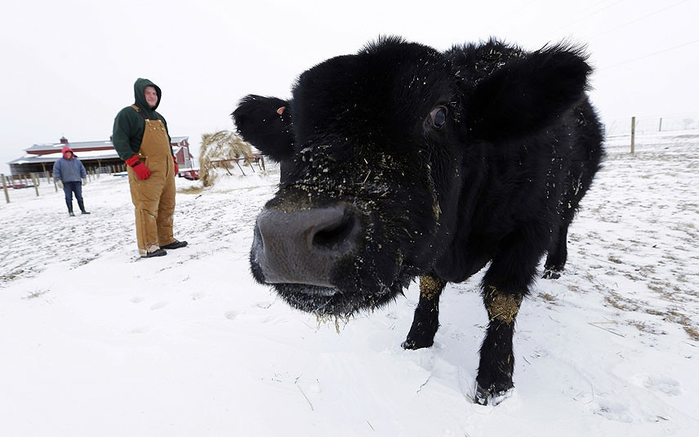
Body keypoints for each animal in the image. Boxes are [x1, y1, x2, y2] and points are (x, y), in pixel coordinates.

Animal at [232, 37, 604, 406]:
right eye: (292, 129)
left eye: (440, 115)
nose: (288, 235)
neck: (459, 247)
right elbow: (430, 286)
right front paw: (417, 340)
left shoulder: (529, 231)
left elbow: (502, 300)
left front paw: (494, 381)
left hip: (571, 197)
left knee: (564, 226)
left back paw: (555, 266)